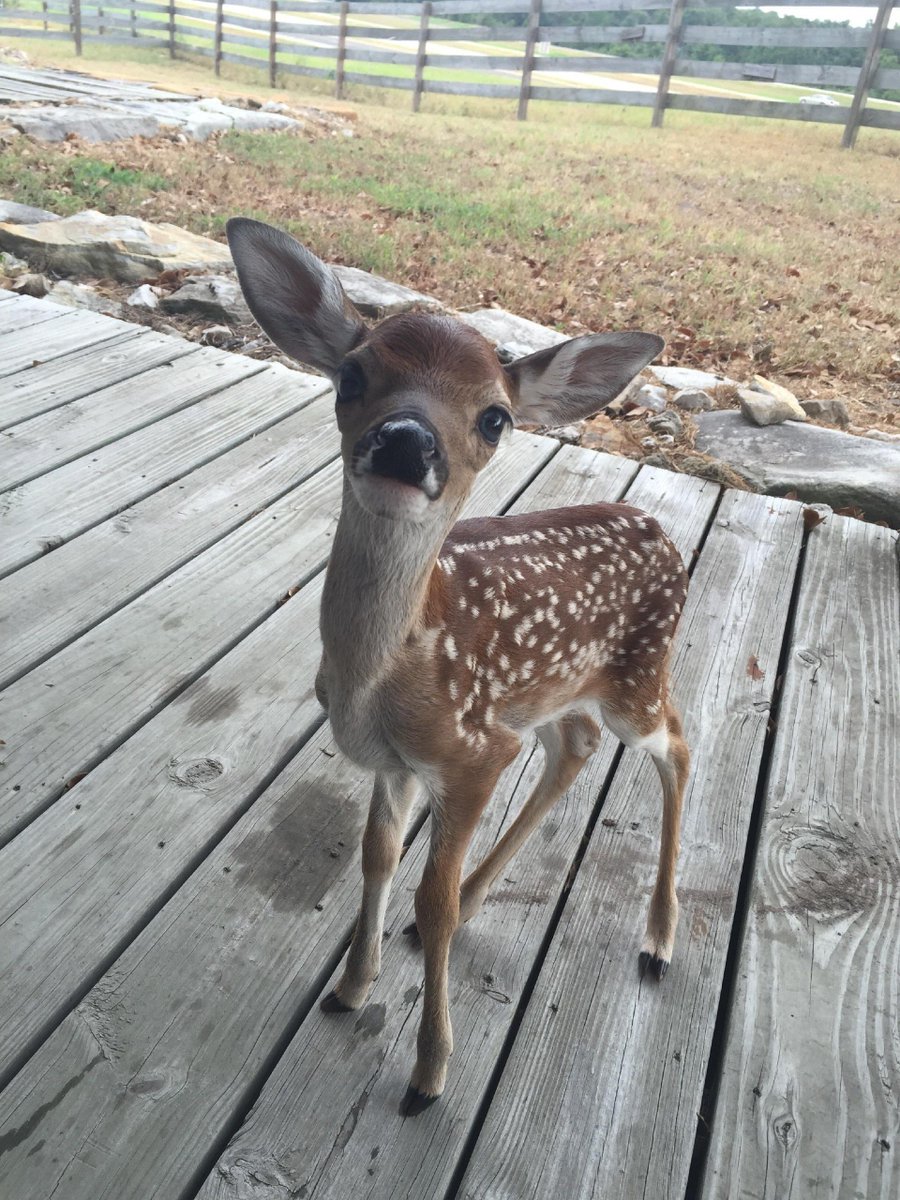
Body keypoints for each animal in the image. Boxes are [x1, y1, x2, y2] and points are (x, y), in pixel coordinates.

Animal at [227, 219, 690, 1116]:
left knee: (680, 748)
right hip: (553, 693)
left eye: (496, 418)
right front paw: (351, 988)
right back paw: (488, 895)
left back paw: (658, 939)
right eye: (352, 374)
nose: (407, 442)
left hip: (638, 677)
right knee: (576, 747)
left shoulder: (472, 753)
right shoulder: (399, 760)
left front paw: (430, 1072)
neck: (384, 675)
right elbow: (375, 856)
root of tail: (664, 534)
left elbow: (429, 898)